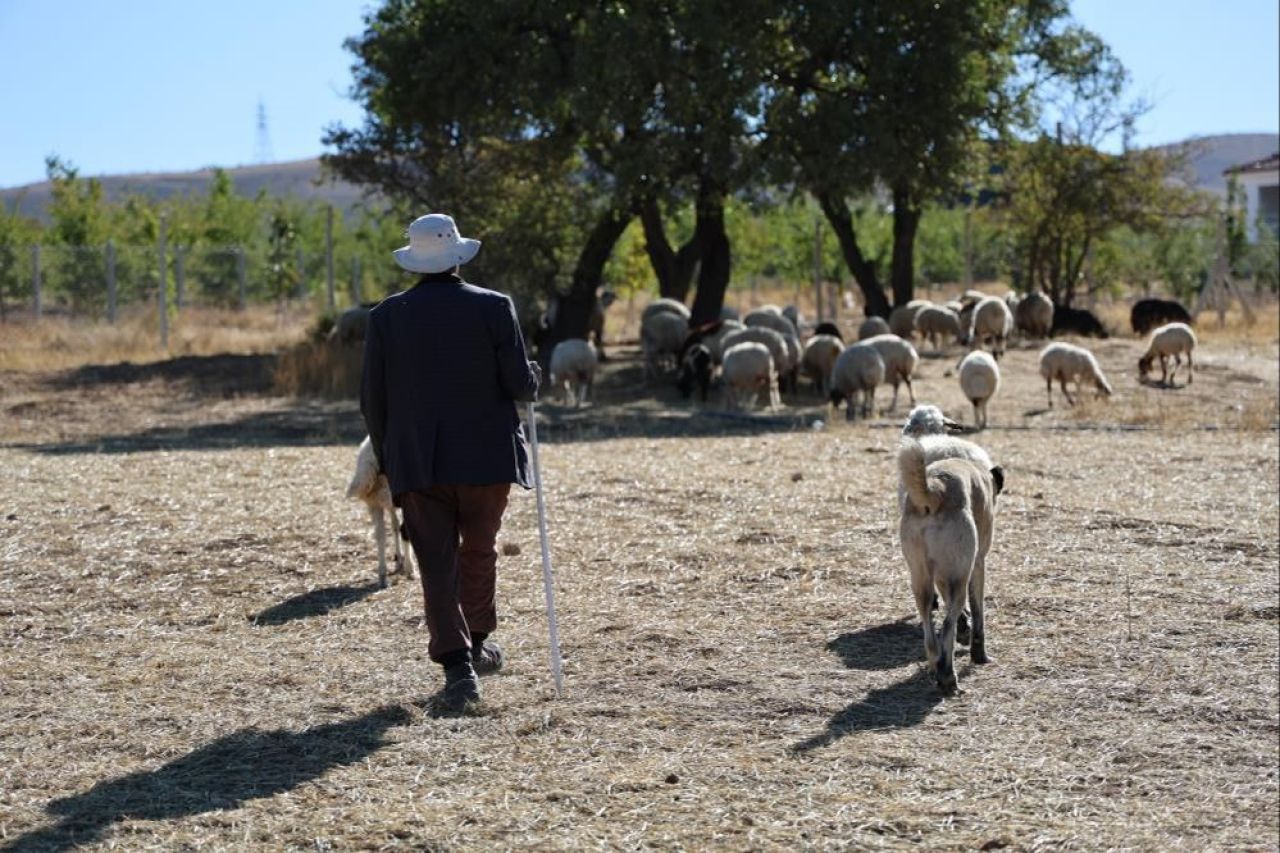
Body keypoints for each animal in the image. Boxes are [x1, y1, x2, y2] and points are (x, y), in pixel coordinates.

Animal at [896, 435, 1003, 696]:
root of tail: (935, 489)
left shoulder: (942, 575)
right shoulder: (976, 565)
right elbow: (978, 613)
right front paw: (979, 654)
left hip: (921, 577)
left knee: (928, 623)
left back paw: (936, 664)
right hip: (959, 578)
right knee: (947, 625)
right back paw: (948, 677)